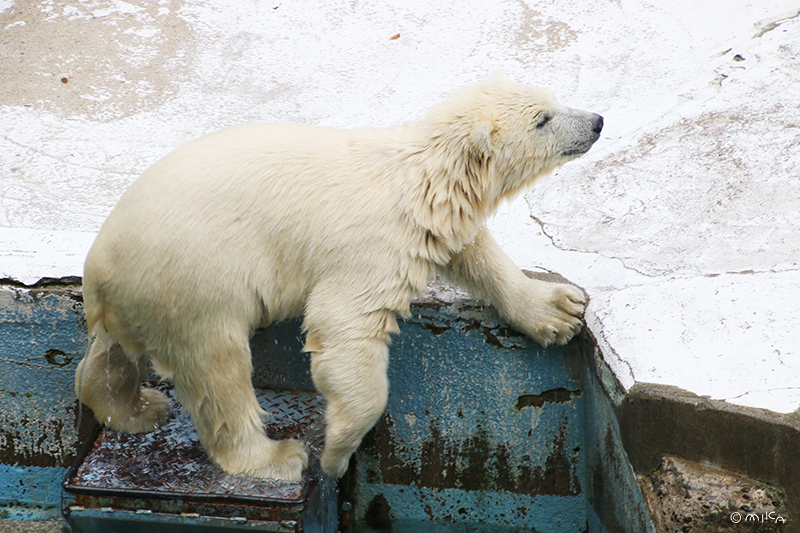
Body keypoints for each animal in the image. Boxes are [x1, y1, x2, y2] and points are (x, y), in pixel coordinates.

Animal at [76, 77, 600, 480]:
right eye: (542, 119)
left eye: (553, 98)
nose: (596, 121)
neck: (423, 175)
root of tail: (99, 269)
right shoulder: (375, 245)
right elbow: (345, 326)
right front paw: (336, 451)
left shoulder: (432, 224)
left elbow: (475, 252)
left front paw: (559, 310)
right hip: (195, 280)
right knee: (216, 370)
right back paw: (273, 457)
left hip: (144, 295)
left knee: (113, 353)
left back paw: (135, 408)